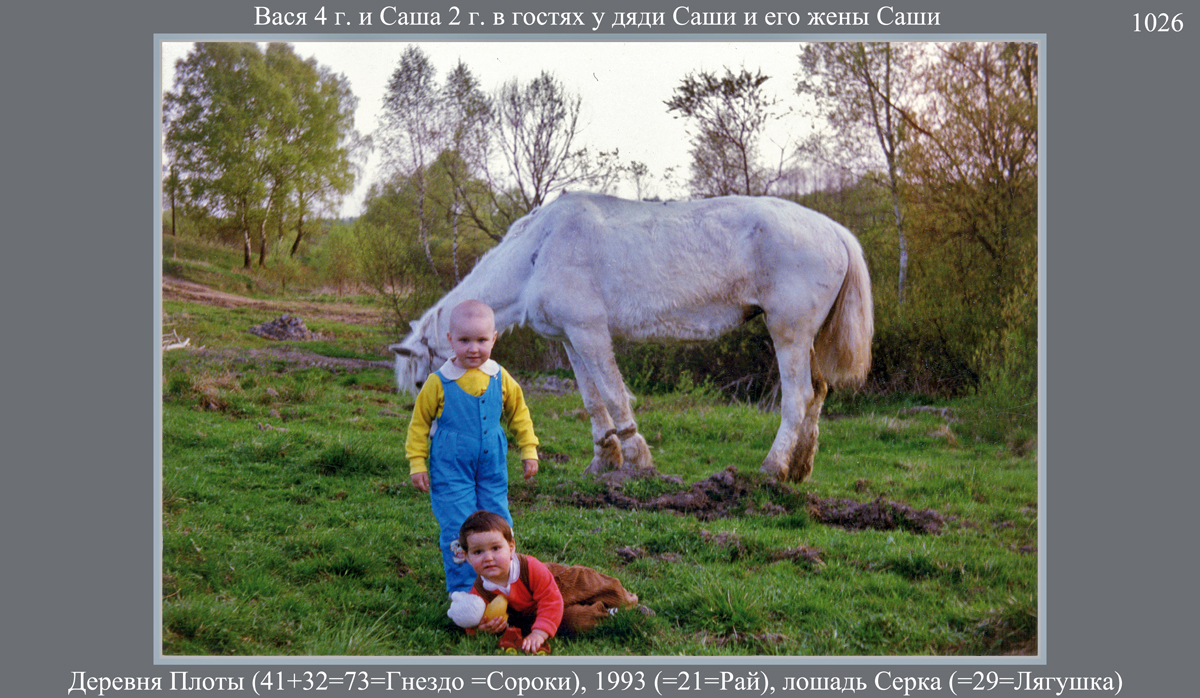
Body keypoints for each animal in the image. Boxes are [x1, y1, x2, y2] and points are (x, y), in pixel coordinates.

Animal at [389, 192, 873, 482]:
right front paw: (604, 460)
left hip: (788, 333)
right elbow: (592, 400)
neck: (539, 251)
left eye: (422, 383)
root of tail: (834, 230)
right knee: (818, 393)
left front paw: (637, 458)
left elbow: (614, 394)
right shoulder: (571, 339)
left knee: (797, 397)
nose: (428, 460)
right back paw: (799, 469)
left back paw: (772, 468)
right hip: (806, 339)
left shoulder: (590, 332)